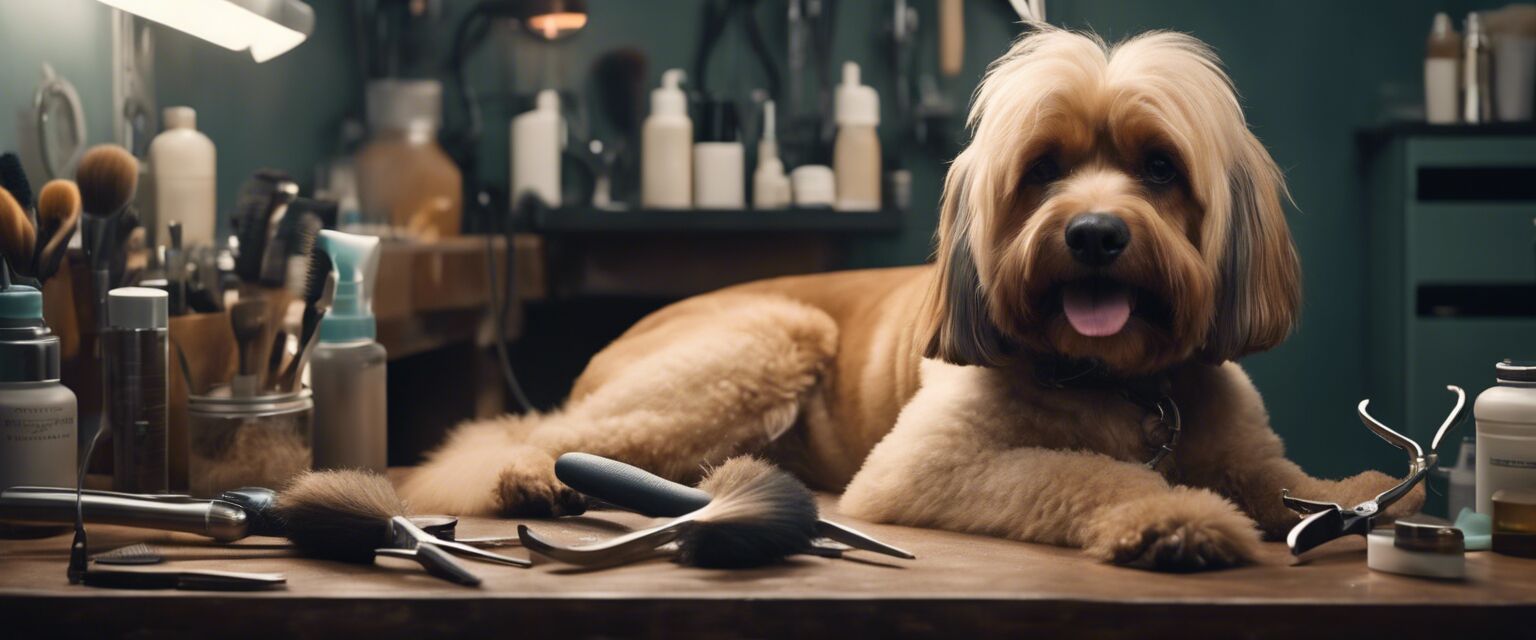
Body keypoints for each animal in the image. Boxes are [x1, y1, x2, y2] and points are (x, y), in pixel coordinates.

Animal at [405, 27, 1413, 570]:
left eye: (1160, 167)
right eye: (1042, 169)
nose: (1093, 234)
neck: (1118, 382)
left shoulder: (1243, 447)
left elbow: (1293, 482)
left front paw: (1362, 495)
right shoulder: (929, 466)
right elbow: (1089, 472)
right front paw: (1177, 519)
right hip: (767, 340)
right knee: (522, 434)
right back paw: (527, 477)